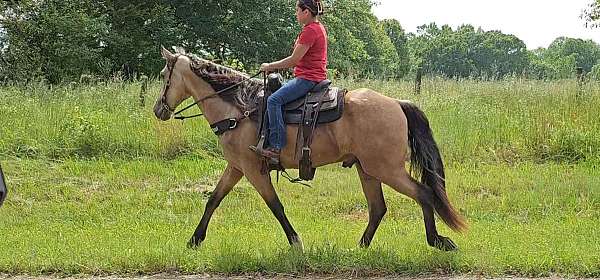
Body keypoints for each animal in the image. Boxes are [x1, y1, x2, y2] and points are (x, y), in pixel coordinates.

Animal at [152, 46, 466, 252]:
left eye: (164, 74)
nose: (158, 110)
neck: (239, 108)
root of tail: (397, 103)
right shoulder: (237, 166)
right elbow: (213, 200)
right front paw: (194, 240)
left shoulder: (253, 169)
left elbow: (275, 205)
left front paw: (296, 242)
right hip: (368, 169)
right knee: (378, 208)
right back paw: (359, 248)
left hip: (386, 169)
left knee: (423, 194)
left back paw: (437, 241)